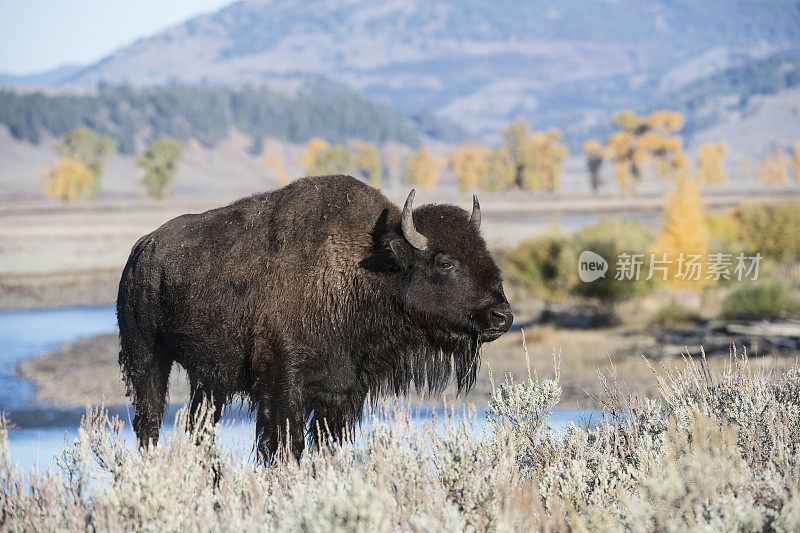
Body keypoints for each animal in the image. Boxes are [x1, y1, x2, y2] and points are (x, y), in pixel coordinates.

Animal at [118, 175, 512, 458]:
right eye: (445, 262)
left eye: (484, 252)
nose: (502, 317)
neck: (364, 267)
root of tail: (142, 249)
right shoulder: (282, 384)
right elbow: (286, 447)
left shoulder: (339, 393)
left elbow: (324, 448)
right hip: (147, 359)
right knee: (149, 424)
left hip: (208, 380)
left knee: (200, 430)